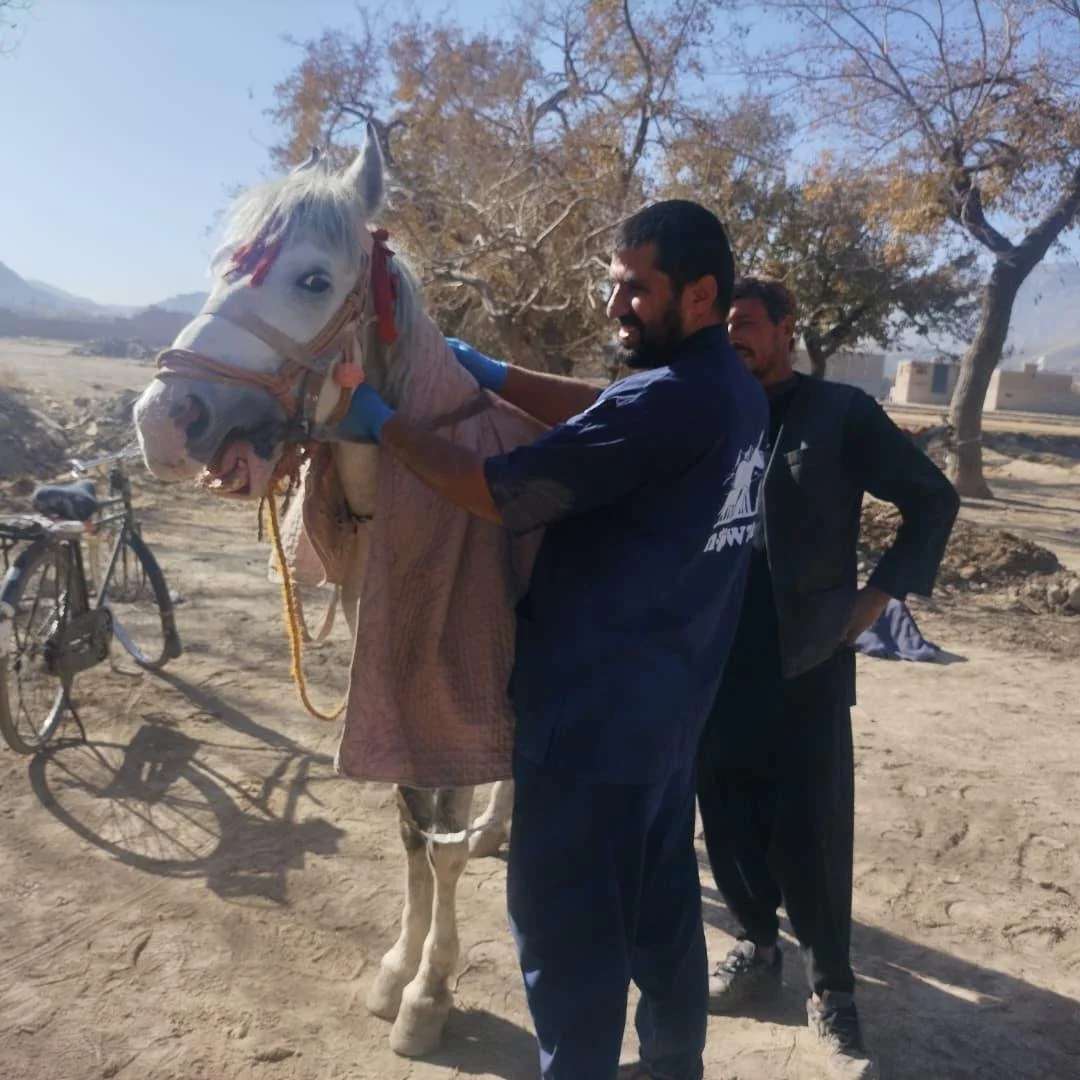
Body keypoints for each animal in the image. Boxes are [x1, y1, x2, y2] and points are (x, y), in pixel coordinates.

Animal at [131, 129, 538, 1058]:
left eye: (314, 280)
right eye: (220, 264)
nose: (162, 420)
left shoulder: (447, 688)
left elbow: (441, 843)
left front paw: (430, 993)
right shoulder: (391, 673)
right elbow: (413, 828)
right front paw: (397, 969)